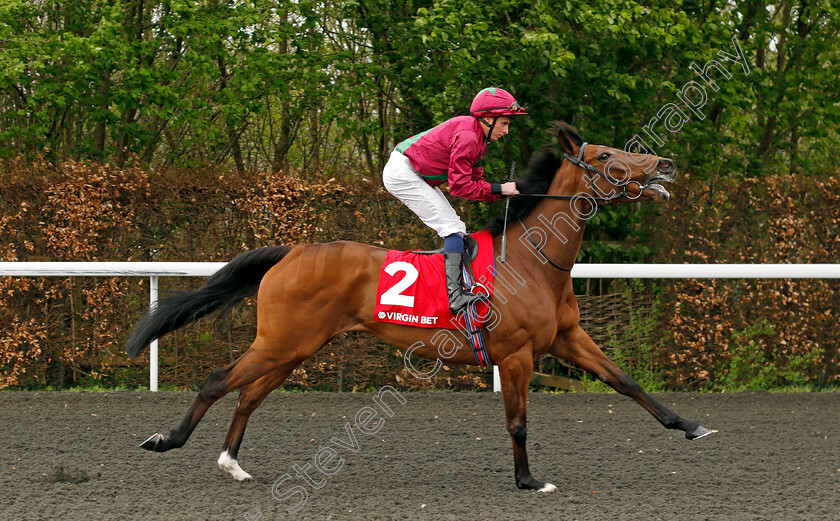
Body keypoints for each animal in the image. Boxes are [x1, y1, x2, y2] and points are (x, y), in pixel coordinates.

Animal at [128, 122, 712, 492]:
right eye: (606, 156)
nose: (665, 163)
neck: (534, 257)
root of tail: (292, 249)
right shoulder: (516, 355)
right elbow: (518, 422)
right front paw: (528, 480)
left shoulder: (566, 338)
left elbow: (625, 381)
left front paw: (690, 426)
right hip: (281, 341)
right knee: (217, 380)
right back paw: (166, 441)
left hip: (294, 347)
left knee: (248, 394)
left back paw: (234, 465)